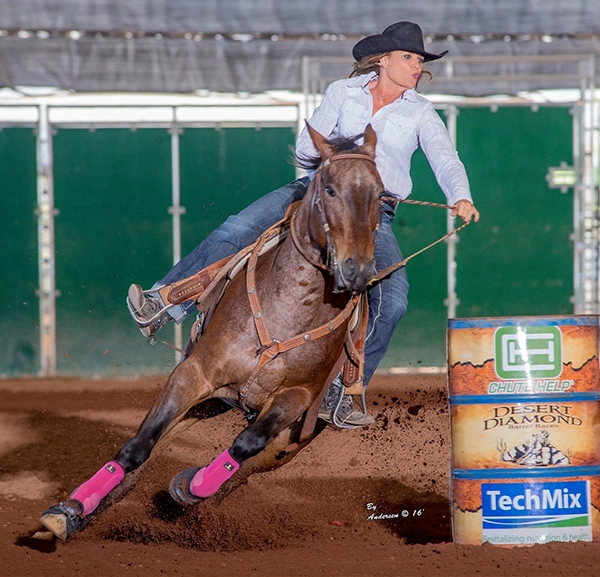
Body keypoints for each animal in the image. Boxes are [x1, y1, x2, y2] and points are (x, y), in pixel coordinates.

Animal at [39, 122, 384, 540]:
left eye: (380, 193)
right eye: (330, 189)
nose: (357, 270)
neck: (288, 312)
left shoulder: (296, 399)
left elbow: (245, 444)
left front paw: (191, 485)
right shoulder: (193, 374)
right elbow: (138, 447)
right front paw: (69, 511)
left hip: (291, 437)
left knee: (247, 468)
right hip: (208, 400)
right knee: (146, 453)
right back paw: (76, 511)